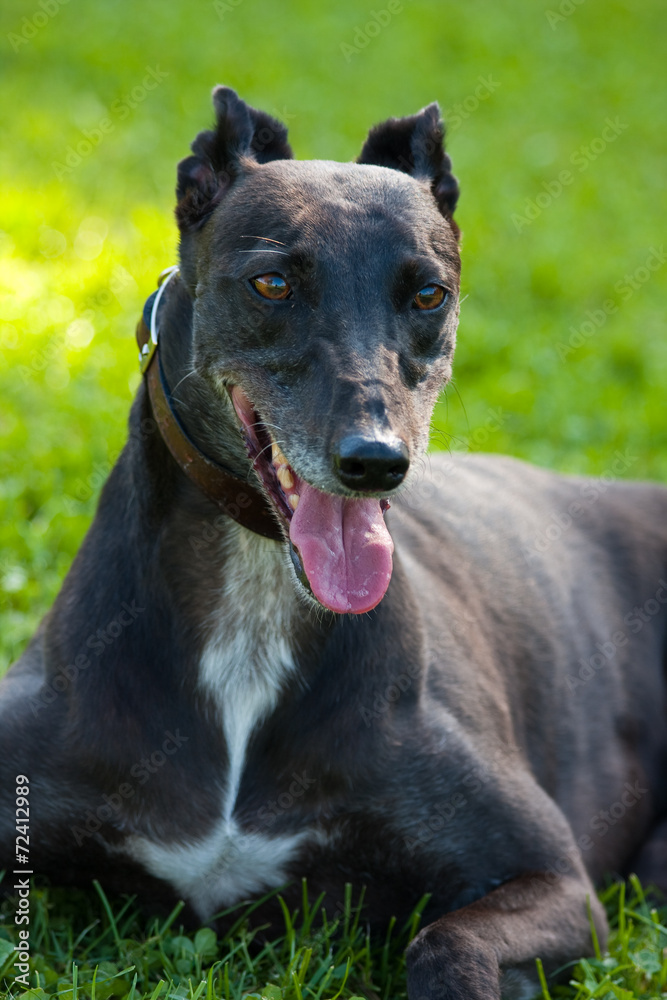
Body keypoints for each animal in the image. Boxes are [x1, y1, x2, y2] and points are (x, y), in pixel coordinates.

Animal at [1, 88, 667, 1000]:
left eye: (428, 294)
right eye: (273, 282)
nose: (375, 462)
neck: (253, 606)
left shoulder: (555, 879)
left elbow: (446, 944)